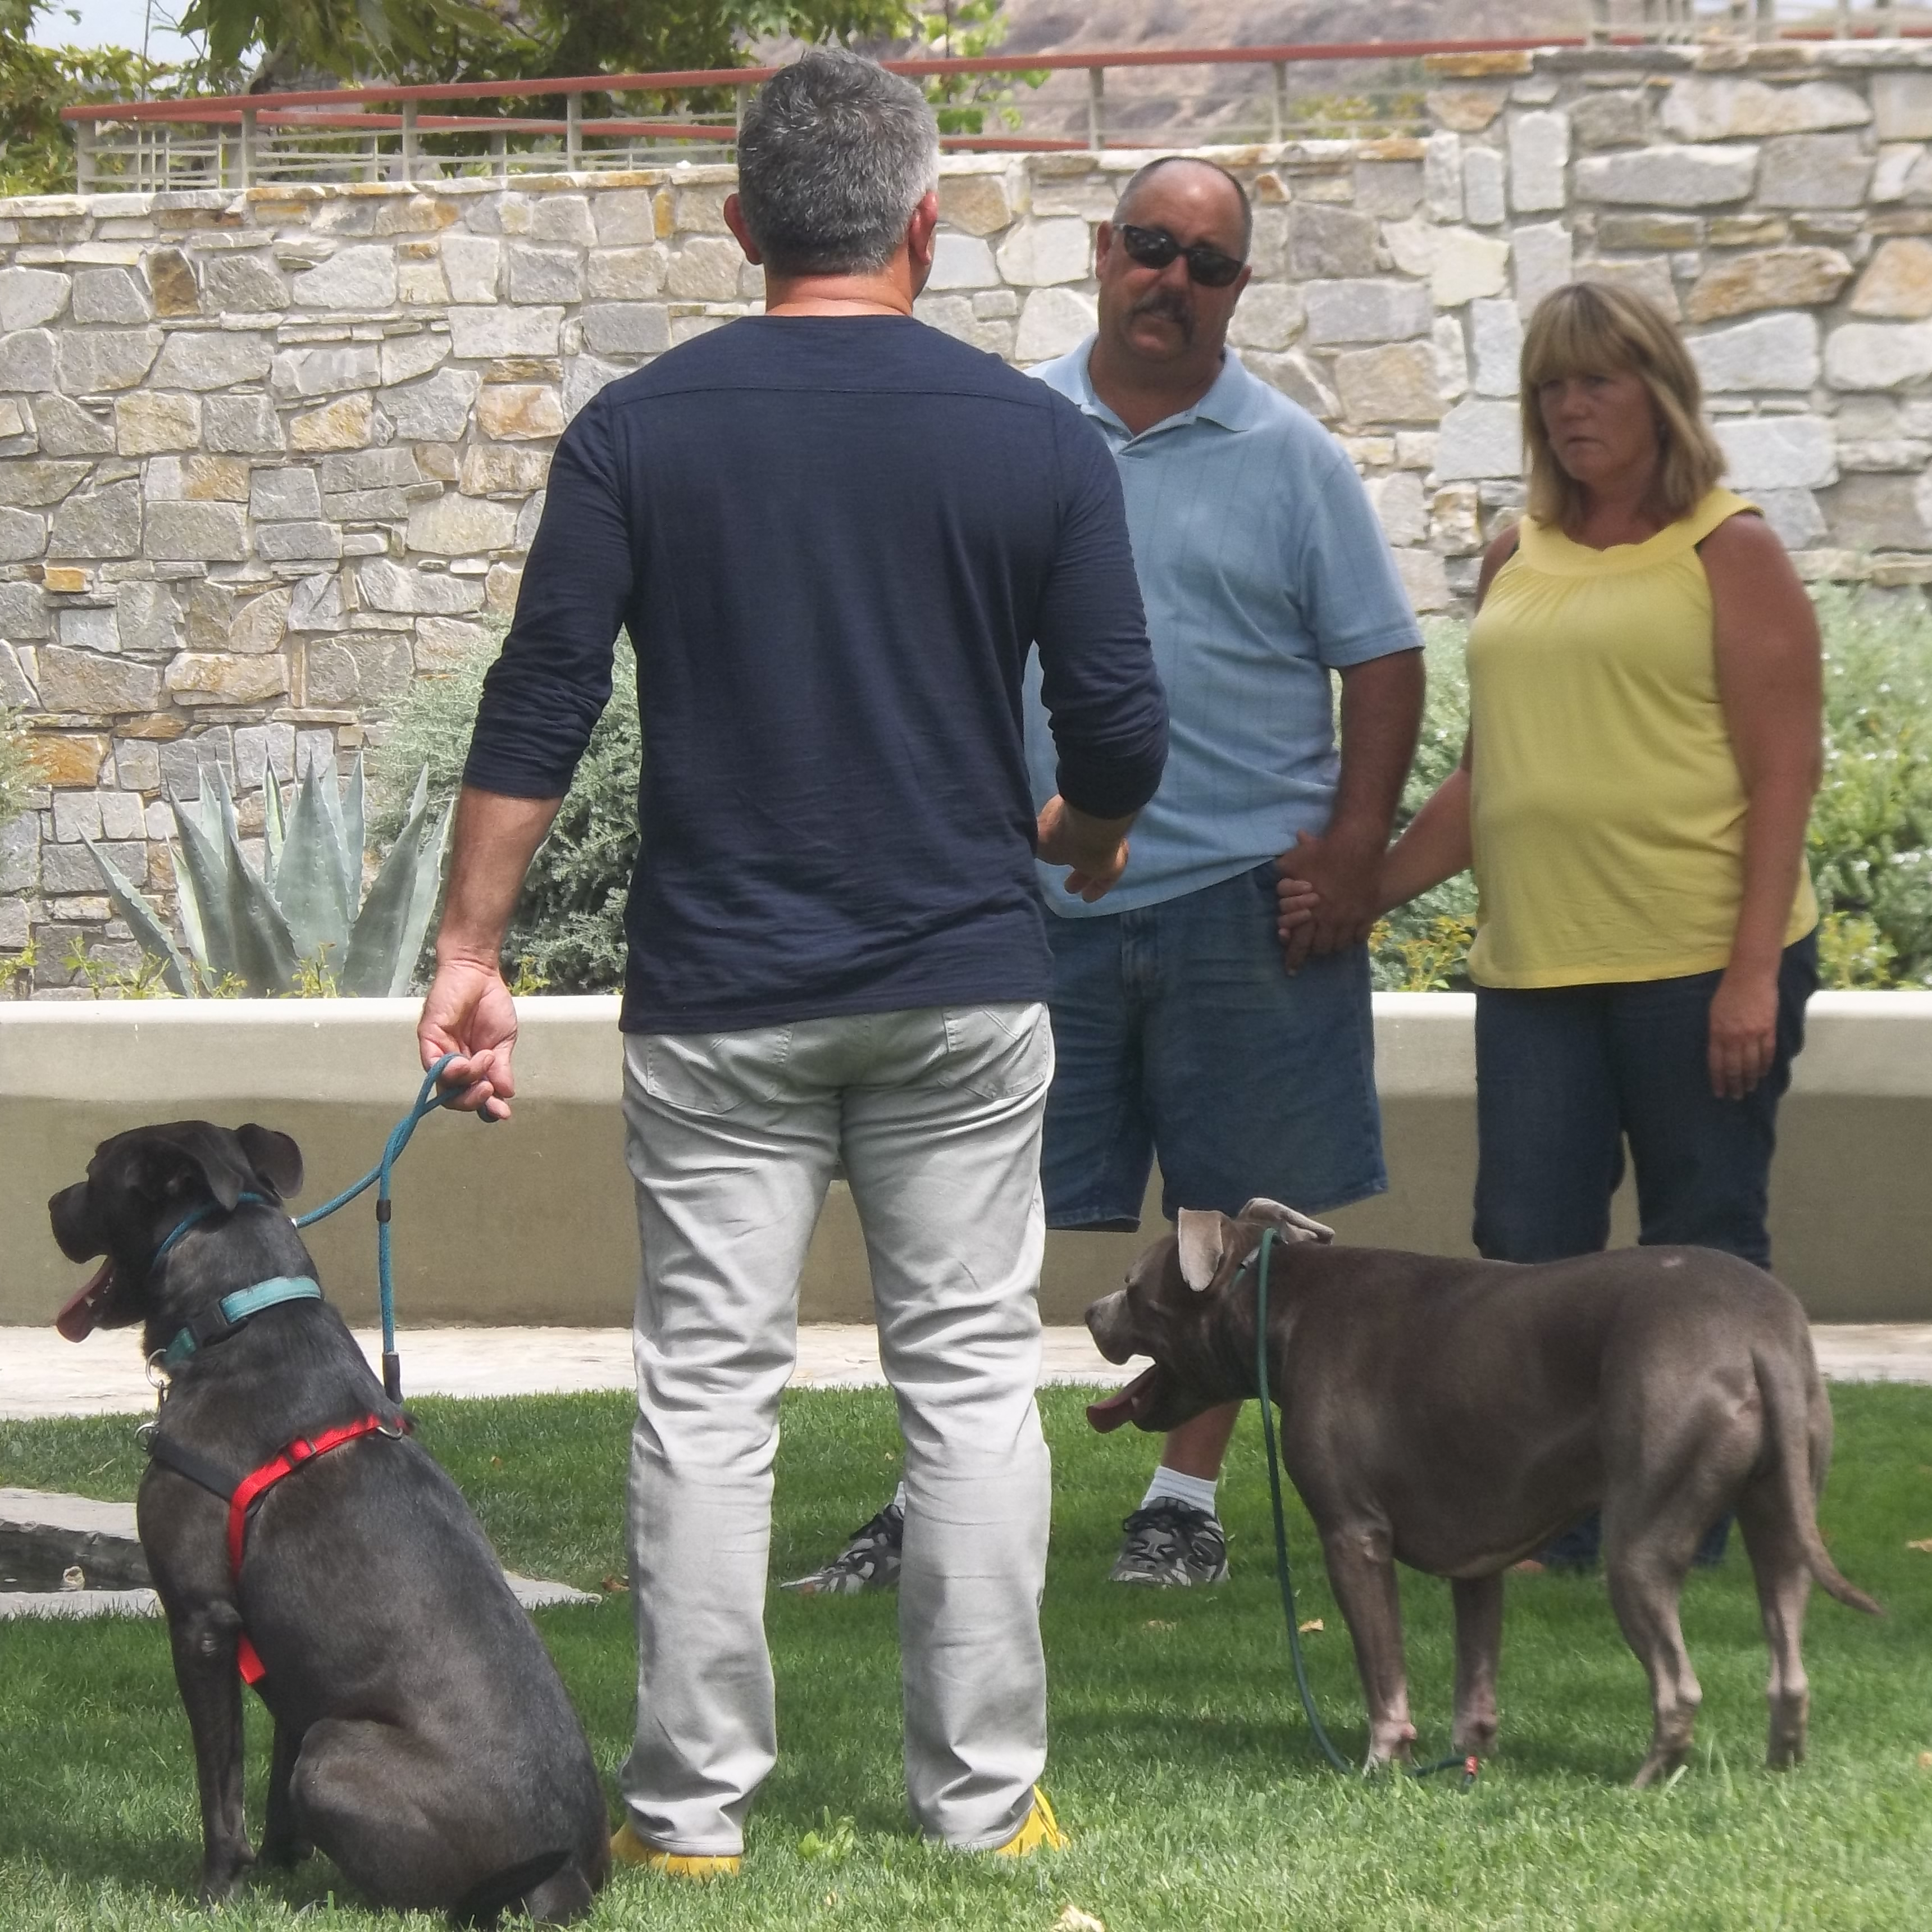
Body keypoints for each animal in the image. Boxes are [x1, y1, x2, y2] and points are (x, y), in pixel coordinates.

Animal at [49, 1121, 610, 1922]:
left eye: (97, 1170)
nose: (53, 1202)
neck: (237, 1316)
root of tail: (567, 1880)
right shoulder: (287, 1658)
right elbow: (271, 1779)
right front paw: (282, 1866)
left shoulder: (202, 1619)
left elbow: (221, 1787)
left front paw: (218, 1888)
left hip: (333, 1750)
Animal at [1084, 1198, 1880, 1786]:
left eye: (1131, 1285)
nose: (1090, 1311)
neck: (1280, 1297)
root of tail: (1756, 1331)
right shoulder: (1479, 1555)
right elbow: (1476, 1675)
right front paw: (1468, 1759)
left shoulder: (1352, 1535)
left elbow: (1383, 1671)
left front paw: (1382, 1764)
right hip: (1780, 1521)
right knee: (1787, 1662)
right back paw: (1777, 1768)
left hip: (1638, 1540)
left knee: (1676, 1683)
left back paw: (1642, 1782)